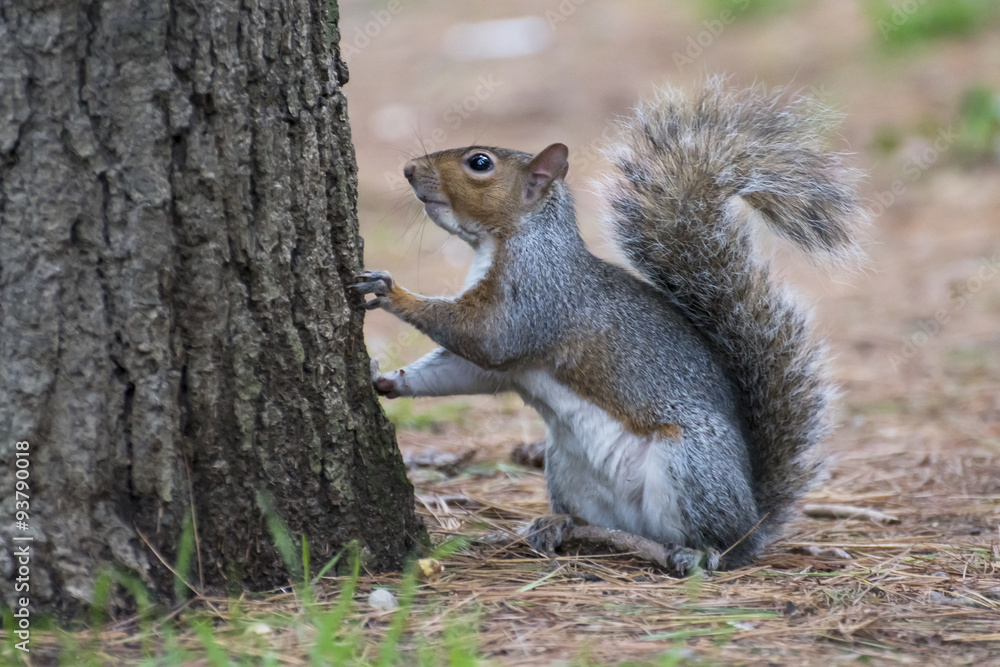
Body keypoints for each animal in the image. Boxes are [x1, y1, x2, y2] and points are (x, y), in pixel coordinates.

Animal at [352, 79, 865, 575]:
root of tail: (753, 518)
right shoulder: (507, 361)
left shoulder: (538, 299)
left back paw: (699, 554)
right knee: (605, 522)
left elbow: (484, 337)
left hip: (690, 463)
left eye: (480, 163)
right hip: (565, 466)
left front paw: (391, 291)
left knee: (719, 542)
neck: (515, 241)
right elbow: (465, 370)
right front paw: (384, 380)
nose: (409, 169)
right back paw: (560, 525)